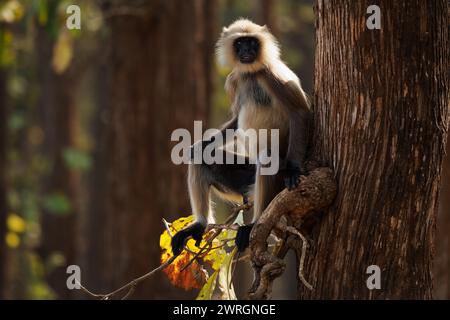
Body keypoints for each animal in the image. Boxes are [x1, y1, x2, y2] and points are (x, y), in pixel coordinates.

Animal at [171, 19, 312, 255]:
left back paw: (254, 224)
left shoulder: (271, 74)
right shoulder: (235, 79)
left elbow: (298, 111)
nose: (246, 51)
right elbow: (236, 121)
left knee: (268, 158)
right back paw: (200, 224)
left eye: (251, 42)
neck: (251, 75)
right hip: (245, 181)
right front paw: (200, 144)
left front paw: (294, 169)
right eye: (240, 43)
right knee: (201, 158)